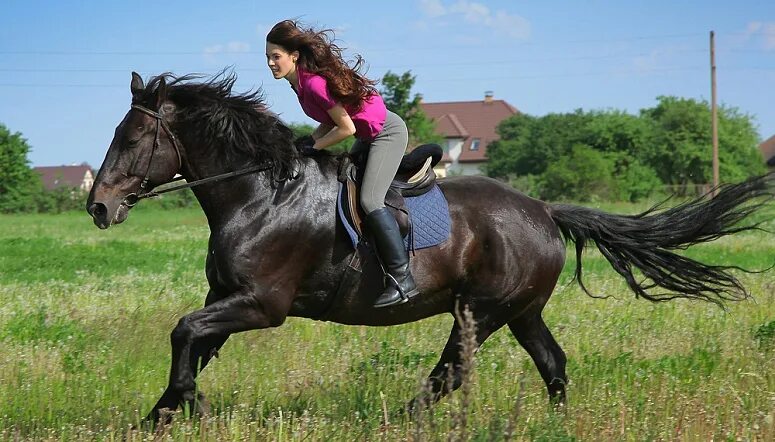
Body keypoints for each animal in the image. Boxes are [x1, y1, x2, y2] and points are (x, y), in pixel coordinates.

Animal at [88, 72, 772, 424]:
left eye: (131, 138)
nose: (98, 206)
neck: (261, 194)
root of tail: (544, 209)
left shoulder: (262, 304)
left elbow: (184, 333)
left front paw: (184, 408)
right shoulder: (228, 298)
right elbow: (193, 345)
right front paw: (163, 415)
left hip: (480, 309)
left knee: (448, 373)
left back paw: (402, 420)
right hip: (521, 311)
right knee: (551, 364)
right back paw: (556, 427)